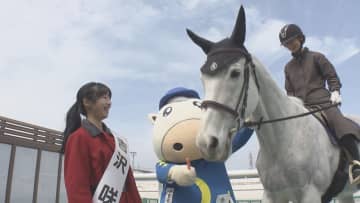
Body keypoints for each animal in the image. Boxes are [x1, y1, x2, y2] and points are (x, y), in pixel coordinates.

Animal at [187, 5, 358, 203]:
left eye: (235, 73)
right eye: (203, 78)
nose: (206, 143)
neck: (282, 141)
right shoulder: (272, 194)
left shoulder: (311, 194)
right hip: (345, 194)